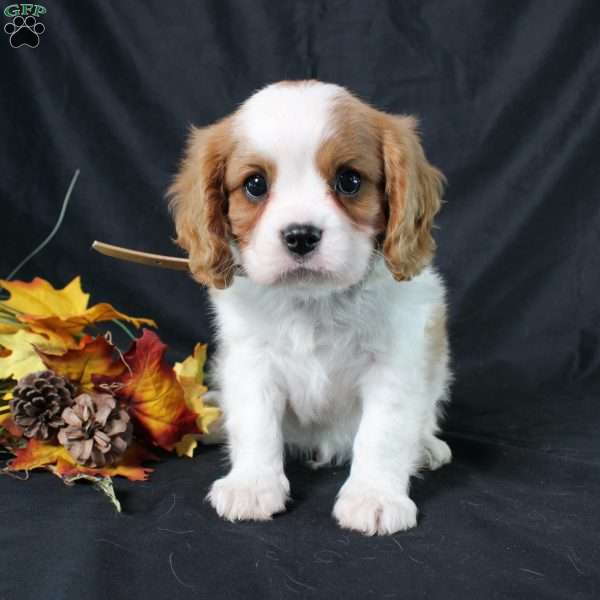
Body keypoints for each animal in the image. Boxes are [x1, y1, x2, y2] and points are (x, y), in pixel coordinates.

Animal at [169, 79, 450, 536]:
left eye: (350, 181)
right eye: (255, 185)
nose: (300, 236)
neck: (313, 302)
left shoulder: (395, 364)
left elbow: (384, 432)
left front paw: (374, 495)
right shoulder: (251, 361)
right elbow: (255, 423)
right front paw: (252, 484)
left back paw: (426, 447)